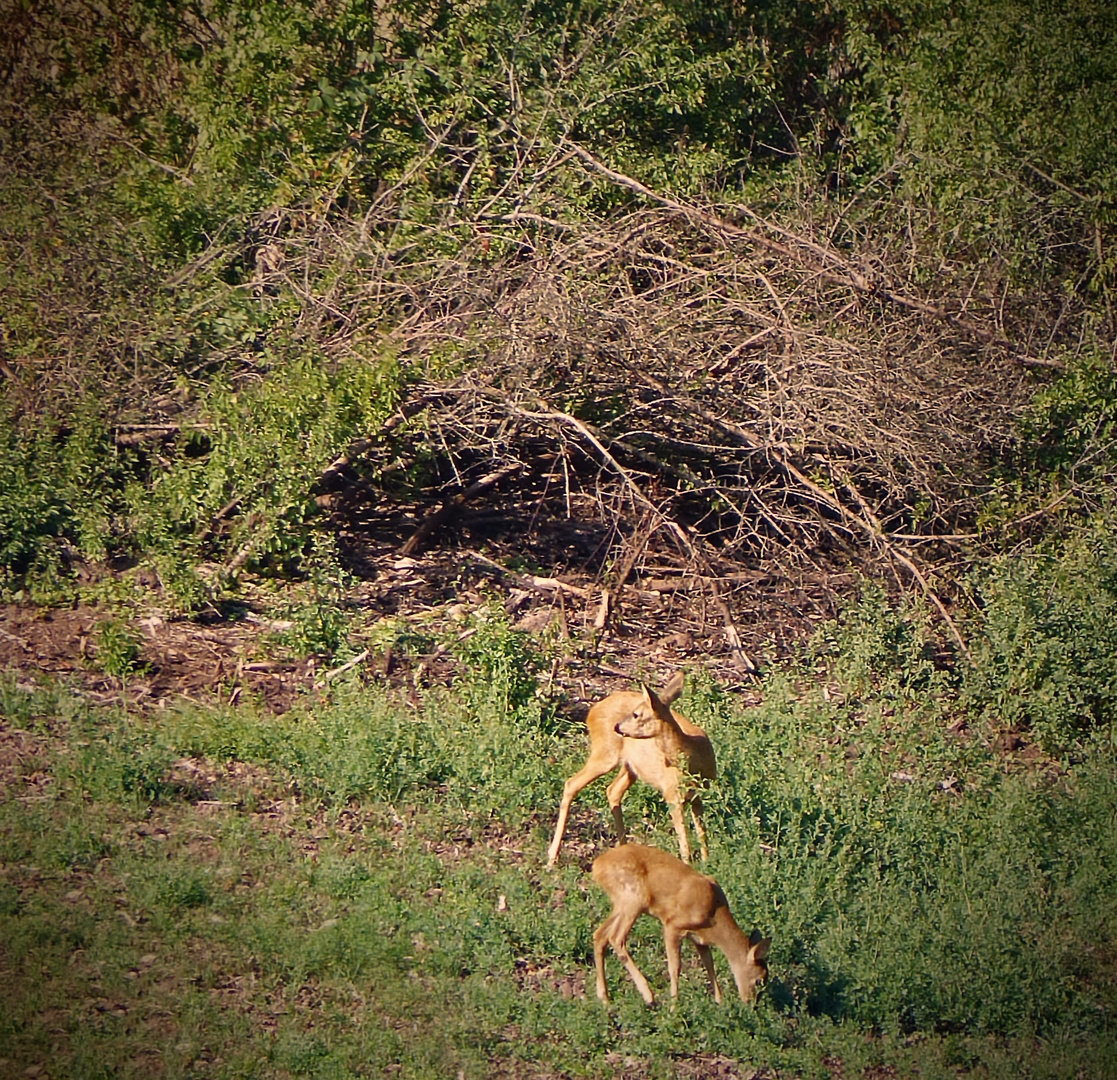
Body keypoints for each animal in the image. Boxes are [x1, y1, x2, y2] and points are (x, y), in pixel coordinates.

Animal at [547, 665, 719, 871]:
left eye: (637, 714)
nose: (618, 727)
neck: (692, 758)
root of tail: (592, 710)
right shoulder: (671, 793)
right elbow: (684, 838)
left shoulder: (698, 794)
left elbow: (702, 833)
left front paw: (707, 863)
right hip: (606, 754)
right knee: (572, 783)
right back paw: (552, 858)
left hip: (630, 767)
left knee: (612, 790)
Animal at [594, 844, 768, 1005]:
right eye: (759, 980)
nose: (752, 1004)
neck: (714, 914)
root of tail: (597, 865)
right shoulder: (673, 924)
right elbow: (675, 968)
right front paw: (674, 1006)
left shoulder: (699, 939)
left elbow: (709, 964)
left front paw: (720, 1002)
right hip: (633, 899)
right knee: (615, 938)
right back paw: (648, 996)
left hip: (621, 903)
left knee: (600, 935)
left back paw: (604, 998)